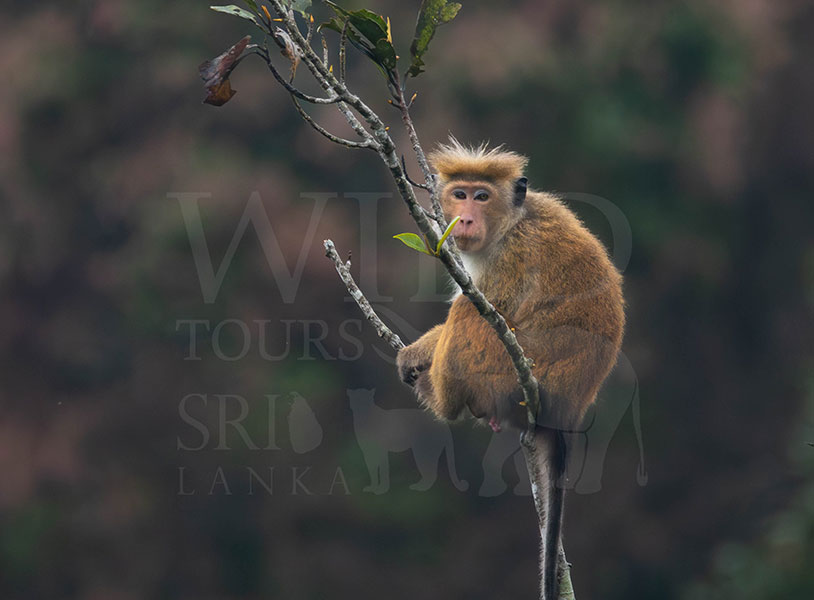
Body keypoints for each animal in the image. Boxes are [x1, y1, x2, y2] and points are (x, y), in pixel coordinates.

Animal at [396, 138, 624, 600]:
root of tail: (568, 408)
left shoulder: (512, 256)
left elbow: (488, 307)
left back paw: (442, 400)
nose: (465, 217)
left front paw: (423, 351)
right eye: (460, 194)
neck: (512, 222)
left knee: (470, 312)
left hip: (507, 375)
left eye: (482, 197)